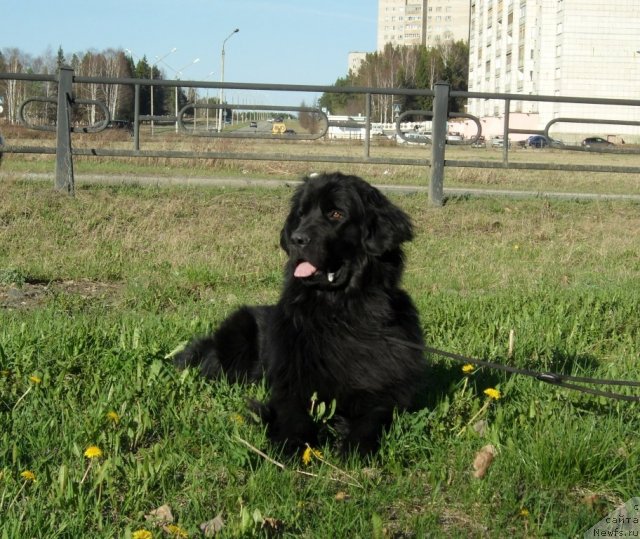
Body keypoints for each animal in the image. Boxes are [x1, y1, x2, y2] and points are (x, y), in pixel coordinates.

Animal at [175, 173, 428, 456]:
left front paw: (354, 448)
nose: (297, 239)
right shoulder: (291, 385)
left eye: (336, 214)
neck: (339, 314)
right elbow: (292, 415)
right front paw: (293, 445)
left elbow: (374, 417)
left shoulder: (384, 390)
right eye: (301, 215)